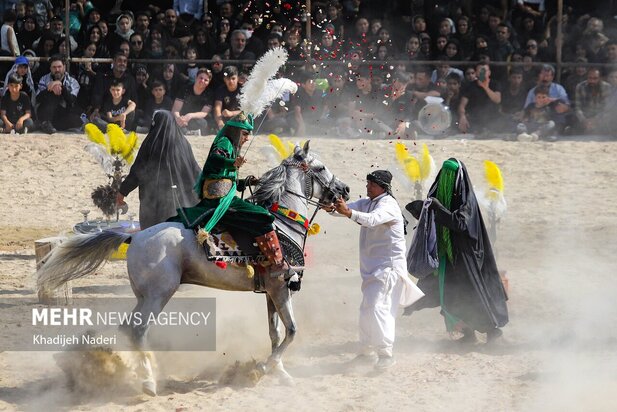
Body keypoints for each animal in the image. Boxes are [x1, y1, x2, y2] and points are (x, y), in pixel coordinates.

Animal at [36, 142, 348, 396]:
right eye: (320, 167)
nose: (343, 190)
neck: (282, 221)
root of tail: (135, 237)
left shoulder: (271, 291)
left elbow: (276, 333)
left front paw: (280, 374)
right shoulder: (282, 287)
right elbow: (292, 331)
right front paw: (261, 369)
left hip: (144, 296)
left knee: (128, 328)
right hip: (158, 295)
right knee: (138, 330)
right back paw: (148, 382)